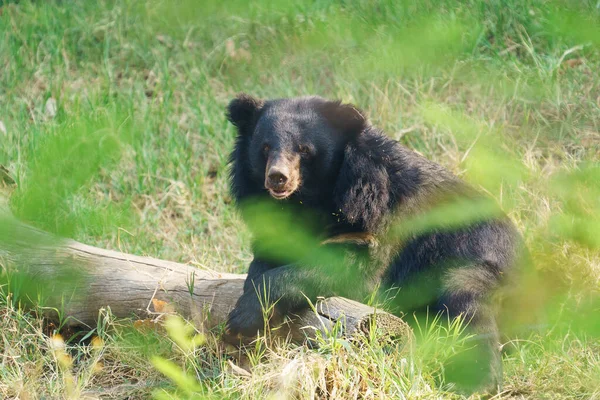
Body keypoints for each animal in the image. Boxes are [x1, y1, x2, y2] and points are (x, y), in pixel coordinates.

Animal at [224, 93, 520, 390]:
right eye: (264, 147)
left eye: (304, 149)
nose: (278, 178)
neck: (310, 199)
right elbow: (268, 257)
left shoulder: (375, 217)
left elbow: (354, 269)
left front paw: (241, 318)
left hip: (476, 264)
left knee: (469, 310)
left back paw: (476, 382)